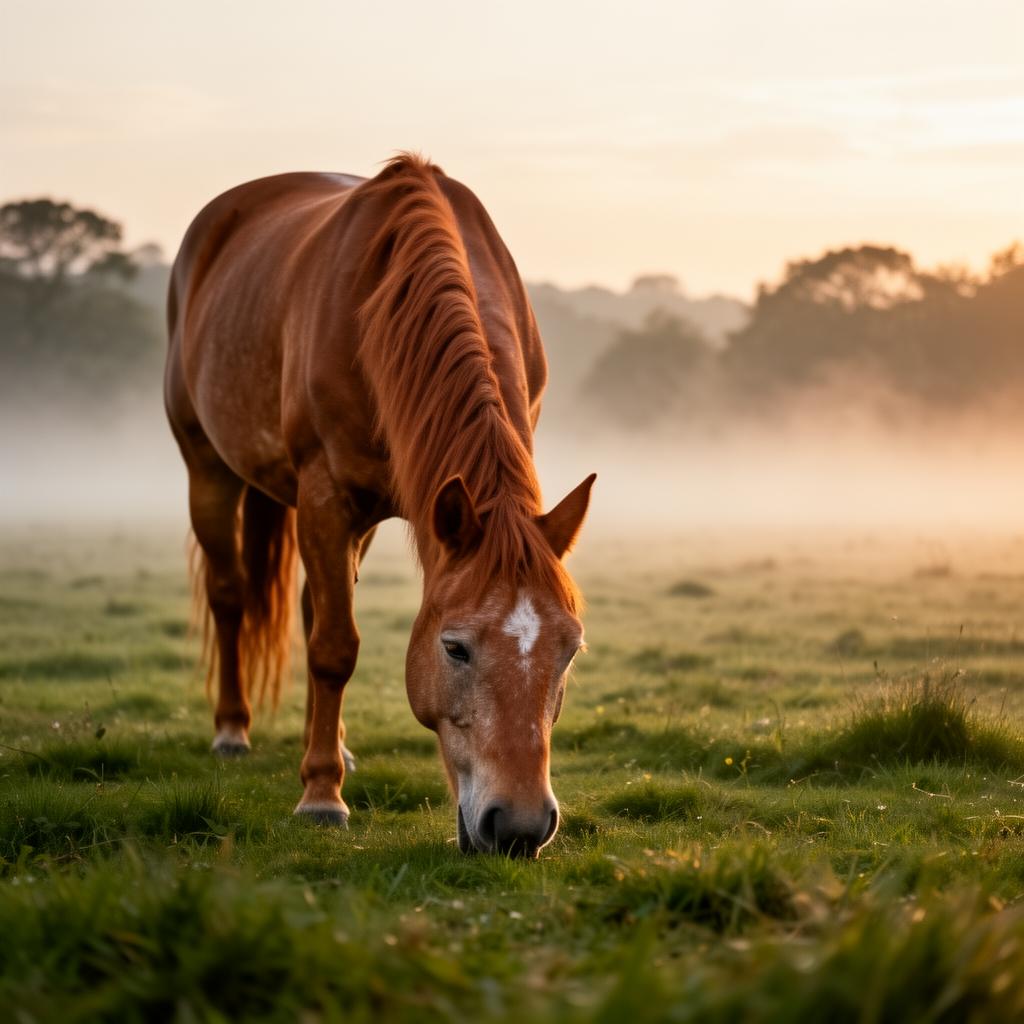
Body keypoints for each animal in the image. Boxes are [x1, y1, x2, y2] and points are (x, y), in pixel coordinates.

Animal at [164, 154, 594, 858]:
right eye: (455, 648)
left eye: (571, 650)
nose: (520, 828)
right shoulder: (325, 496)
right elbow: (334, 647)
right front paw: (320, 797)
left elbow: (326, 630)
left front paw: (326, 764)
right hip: (209, 468)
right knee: (231, 596)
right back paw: (233, 731)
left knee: (310, 605)